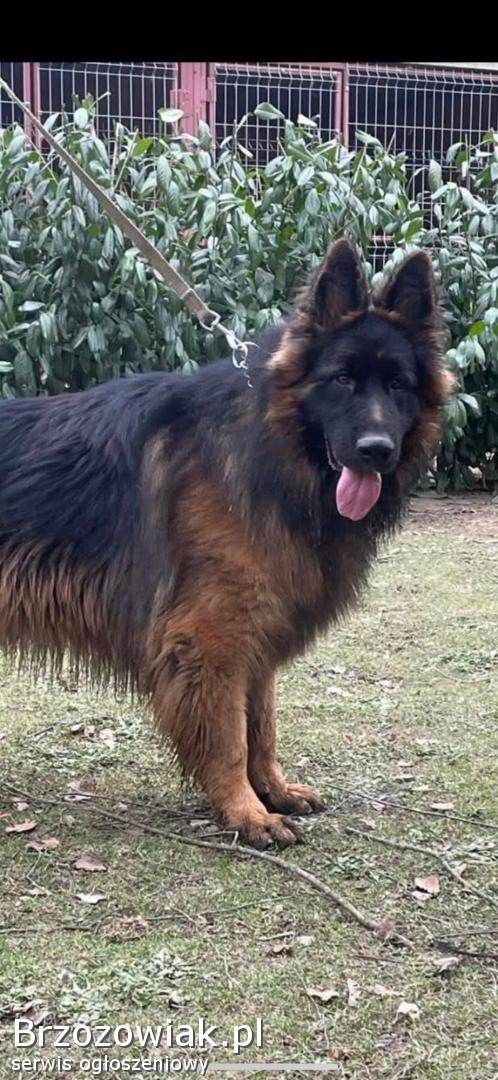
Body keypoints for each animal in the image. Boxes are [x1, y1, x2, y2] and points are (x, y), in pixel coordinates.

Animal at [0, 239, 451, 847]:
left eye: (398, 384)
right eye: (341, 380)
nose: (376, 451)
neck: (269, 449)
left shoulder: (254, 637)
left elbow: (262, 726)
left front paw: (272, 791)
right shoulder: (210, 642)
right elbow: (230, 737)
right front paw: (245, 812)